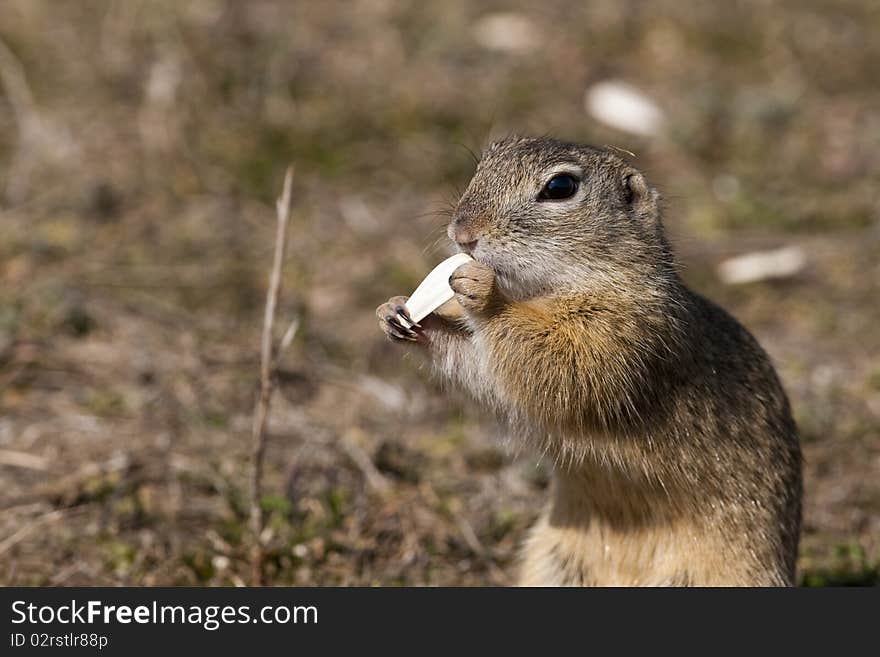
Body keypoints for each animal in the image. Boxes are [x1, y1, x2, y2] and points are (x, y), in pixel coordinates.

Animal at [374, 133, 800, 584]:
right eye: (487, 159)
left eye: (560, 187)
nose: (462, 232)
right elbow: (483, 366)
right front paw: (396, 312)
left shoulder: (625, 337)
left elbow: (561, 368)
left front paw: (483, 293)